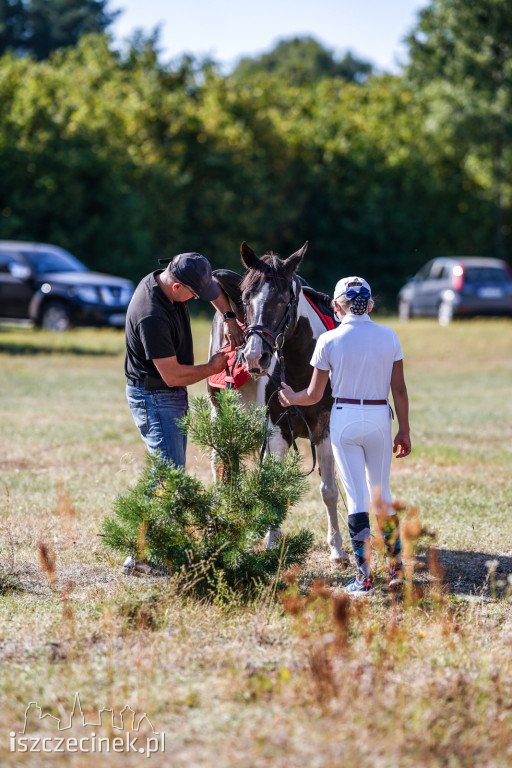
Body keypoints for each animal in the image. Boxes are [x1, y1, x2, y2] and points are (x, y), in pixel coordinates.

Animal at [207, 242, 348, 564]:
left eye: (285, 300)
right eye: (246, 299)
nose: (254, 356)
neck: (301, 368)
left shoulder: (324, 427)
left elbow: (329, 489)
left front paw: (337, 548)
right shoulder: (276, 429)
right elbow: (272, 485)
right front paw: (272, 540)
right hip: (222, 417)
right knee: (224, 468)